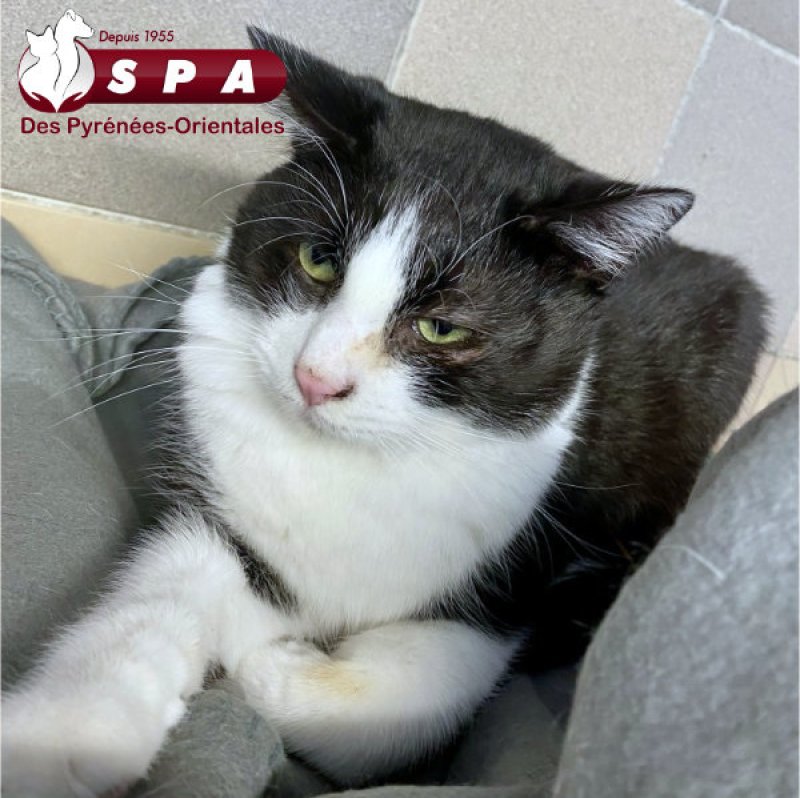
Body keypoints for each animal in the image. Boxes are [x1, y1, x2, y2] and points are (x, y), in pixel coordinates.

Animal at [1, 28, 767, 797]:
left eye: (442, 329)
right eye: (317, 259)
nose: (315, 378)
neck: (355, 461)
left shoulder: (508, 576)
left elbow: (399, 714)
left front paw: (269, 666)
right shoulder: (224, 509)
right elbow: (160, 597)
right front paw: (62, 735)